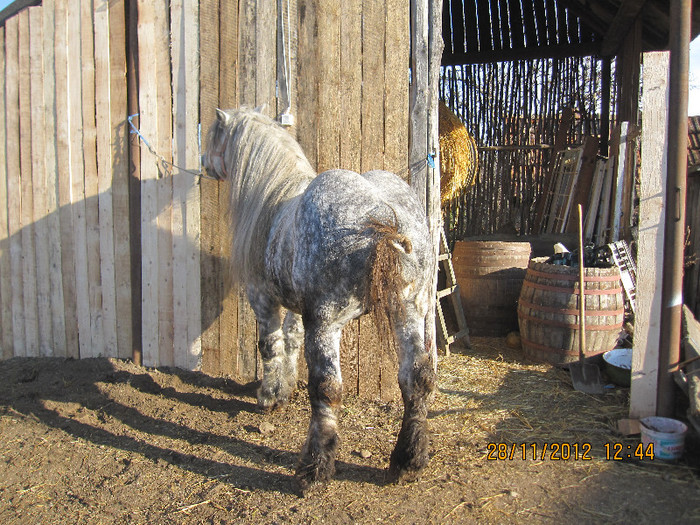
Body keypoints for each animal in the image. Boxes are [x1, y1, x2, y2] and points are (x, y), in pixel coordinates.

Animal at [202, 108, 438, 494]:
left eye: (214, 135)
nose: (205, 163)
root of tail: (383, 217)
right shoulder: (298, 308)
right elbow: (291, 341)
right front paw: (284, 389)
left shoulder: (263, 298)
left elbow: (270, 346)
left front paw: (269, 397)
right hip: (410, 313)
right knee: (416, 379)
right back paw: (408, 462)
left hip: (328, 326)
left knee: (328, 391)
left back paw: (314, 470)